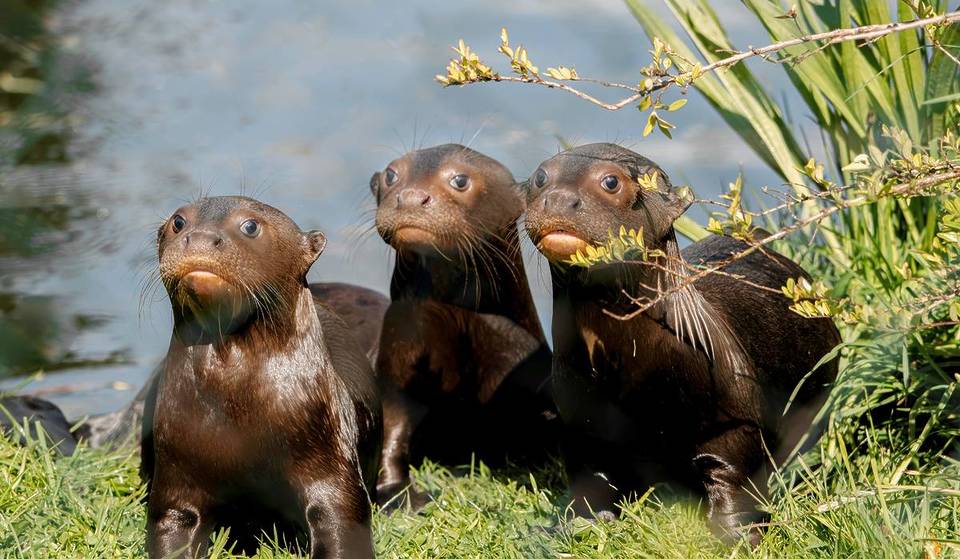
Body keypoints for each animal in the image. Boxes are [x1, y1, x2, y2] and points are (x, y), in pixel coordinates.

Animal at [143, 196, 380, 558]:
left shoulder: (330, 463)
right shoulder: (176, 472)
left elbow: (341, 518)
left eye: (250, 226)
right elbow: (172, 522)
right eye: (179, 222)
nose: (200, 237)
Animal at [370, 144, 556, 505]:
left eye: (460, 180)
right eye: (391, 174)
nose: (411, 196)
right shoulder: (397, 349)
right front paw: (397, 491)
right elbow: (392, 420)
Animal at [523, 143, 839, 540]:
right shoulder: (582, 422)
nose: (558, 198)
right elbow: (588, 480)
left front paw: (739, 534)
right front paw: (570, 525)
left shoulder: (733, 420)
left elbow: (735, 476)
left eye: (610, 181)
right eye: (540, 177)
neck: (637, 381)